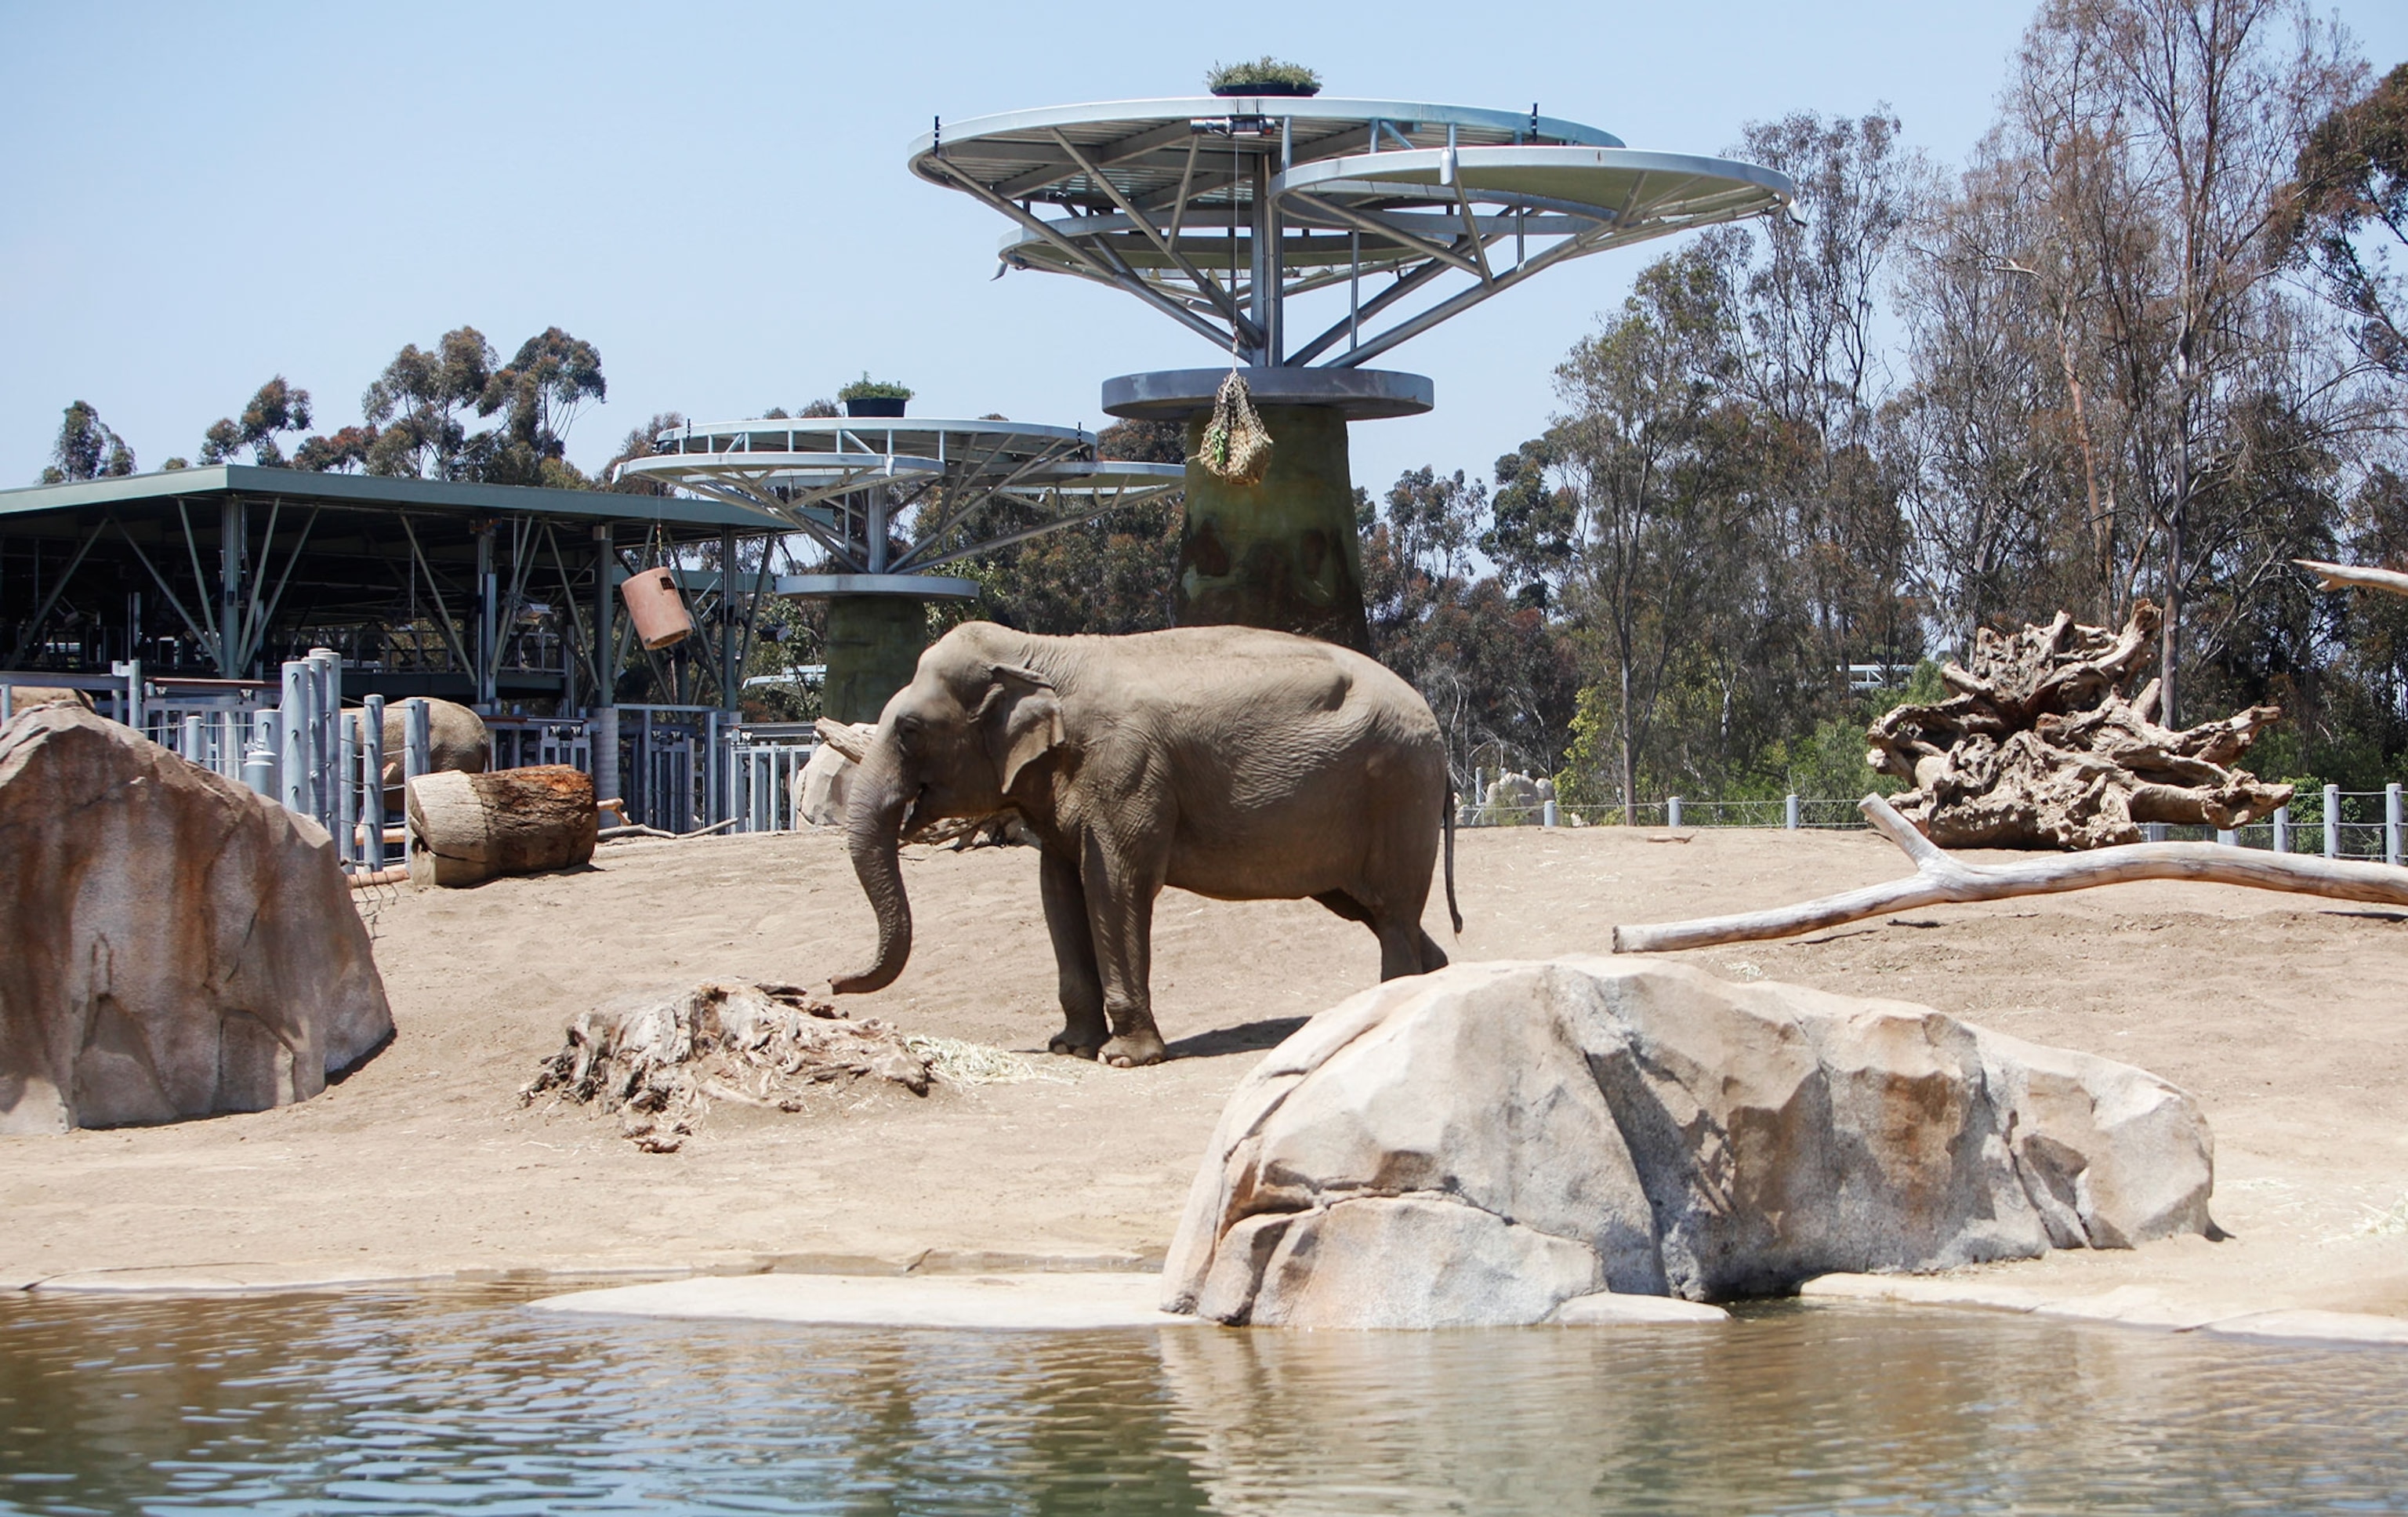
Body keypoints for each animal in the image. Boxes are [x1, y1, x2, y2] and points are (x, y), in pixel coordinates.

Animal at [830, 621, 1460, 1067]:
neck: (1038, 651)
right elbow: (1058, 889)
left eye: (909, 731)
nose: (834, 982)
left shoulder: (1126, 770)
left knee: (1392, 912)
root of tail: (1436, 728)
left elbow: (1116, 885)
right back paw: (1430, 984)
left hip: (1399, 789)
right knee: (1376, 911)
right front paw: (1069, 1047)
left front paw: (1124, 1059)